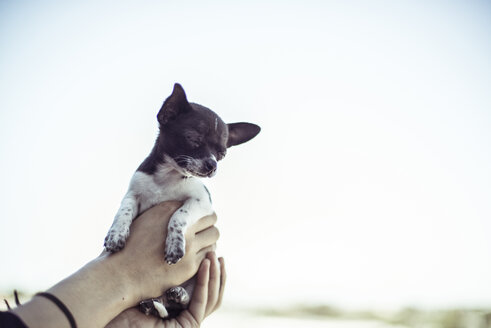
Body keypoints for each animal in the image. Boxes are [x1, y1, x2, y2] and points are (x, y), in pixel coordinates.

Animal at [102, 83, 260, 320]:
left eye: (222, 154)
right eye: (193, 139)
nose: (213, 165)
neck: (168, 176)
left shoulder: (201, 202)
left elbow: (179, 215)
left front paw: (174, 244)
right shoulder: (133, 194)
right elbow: (124, 210)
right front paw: (116, 235)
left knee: (182, 301)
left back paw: (178, 294)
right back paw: (152, 304)